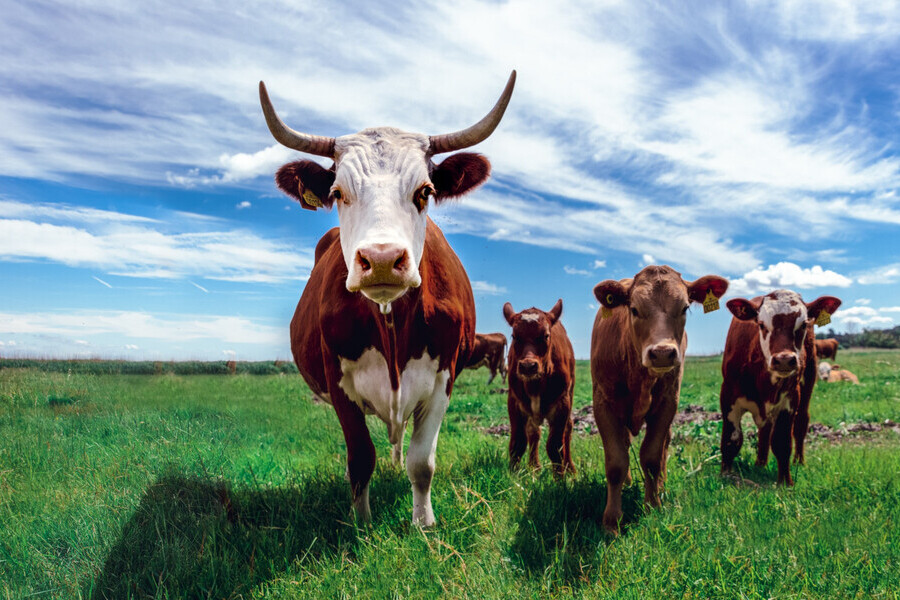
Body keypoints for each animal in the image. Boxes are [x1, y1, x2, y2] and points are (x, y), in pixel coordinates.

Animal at [260, 72, 512, 524]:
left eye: (425, 191)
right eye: (338, 193)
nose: (380, 260)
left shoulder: (444, 377)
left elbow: (422, 462)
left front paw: (423, 522)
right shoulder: (338, 381)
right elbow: (361, 459)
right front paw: (361, 522)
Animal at [506, 298, 576, 474]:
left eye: (545, 335)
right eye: (514, 336)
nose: (528, 366)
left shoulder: (562, 403)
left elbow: (555, 447)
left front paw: (560, 477)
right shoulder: (514, 402)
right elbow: (517, 444)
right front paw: (513, 475)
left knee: (568, 428)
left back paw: (570, 468)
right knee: (533, 432)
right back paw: (534, 466)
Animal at [592, 268, 732, 536]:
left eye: (685, 307)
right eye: (634, 309)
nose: (663, 353)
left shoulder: (668, 404)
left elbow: (652, 457)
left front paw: (653, 505)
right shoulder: (603, 404)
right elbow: (616, 463)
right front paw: (611, 521)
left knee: (664, 446)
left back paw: (662, 485)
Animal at [720, 288, 840, 486]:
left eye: (803, 324)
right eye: (761, 324)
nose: (784, 359)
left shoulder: (789, 400)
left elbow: (782, 442)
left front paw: (785, 482)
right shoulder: (728, 396)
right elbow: (731, 440)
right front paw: (726, 475)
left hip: (809, 380)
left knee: (800, 423)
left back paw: (798, 461)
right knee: (764, 430)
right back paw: (760, 463)